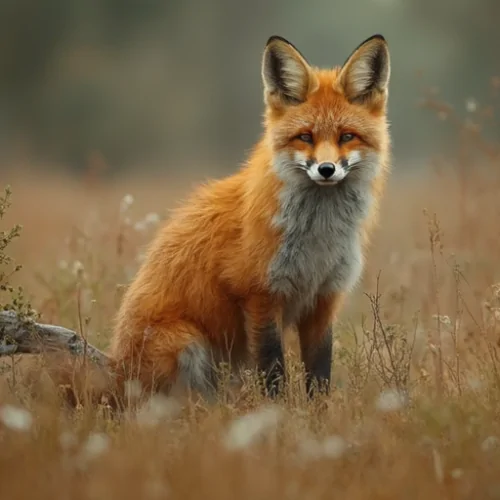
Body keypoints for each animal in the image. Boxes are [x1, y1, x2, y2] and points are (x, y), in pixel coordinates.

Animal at [108, 34, 390, 402]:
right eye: (305, 137)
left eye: (346, 136)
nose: (326, 169)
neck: (319, 239)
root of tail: (112, 373)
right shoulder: (260, 295)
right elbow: (274, 370)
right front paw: (280, 413)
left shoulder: (324, 299)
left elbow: (319, 375)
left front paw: (318, 414)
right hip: (185, 342)